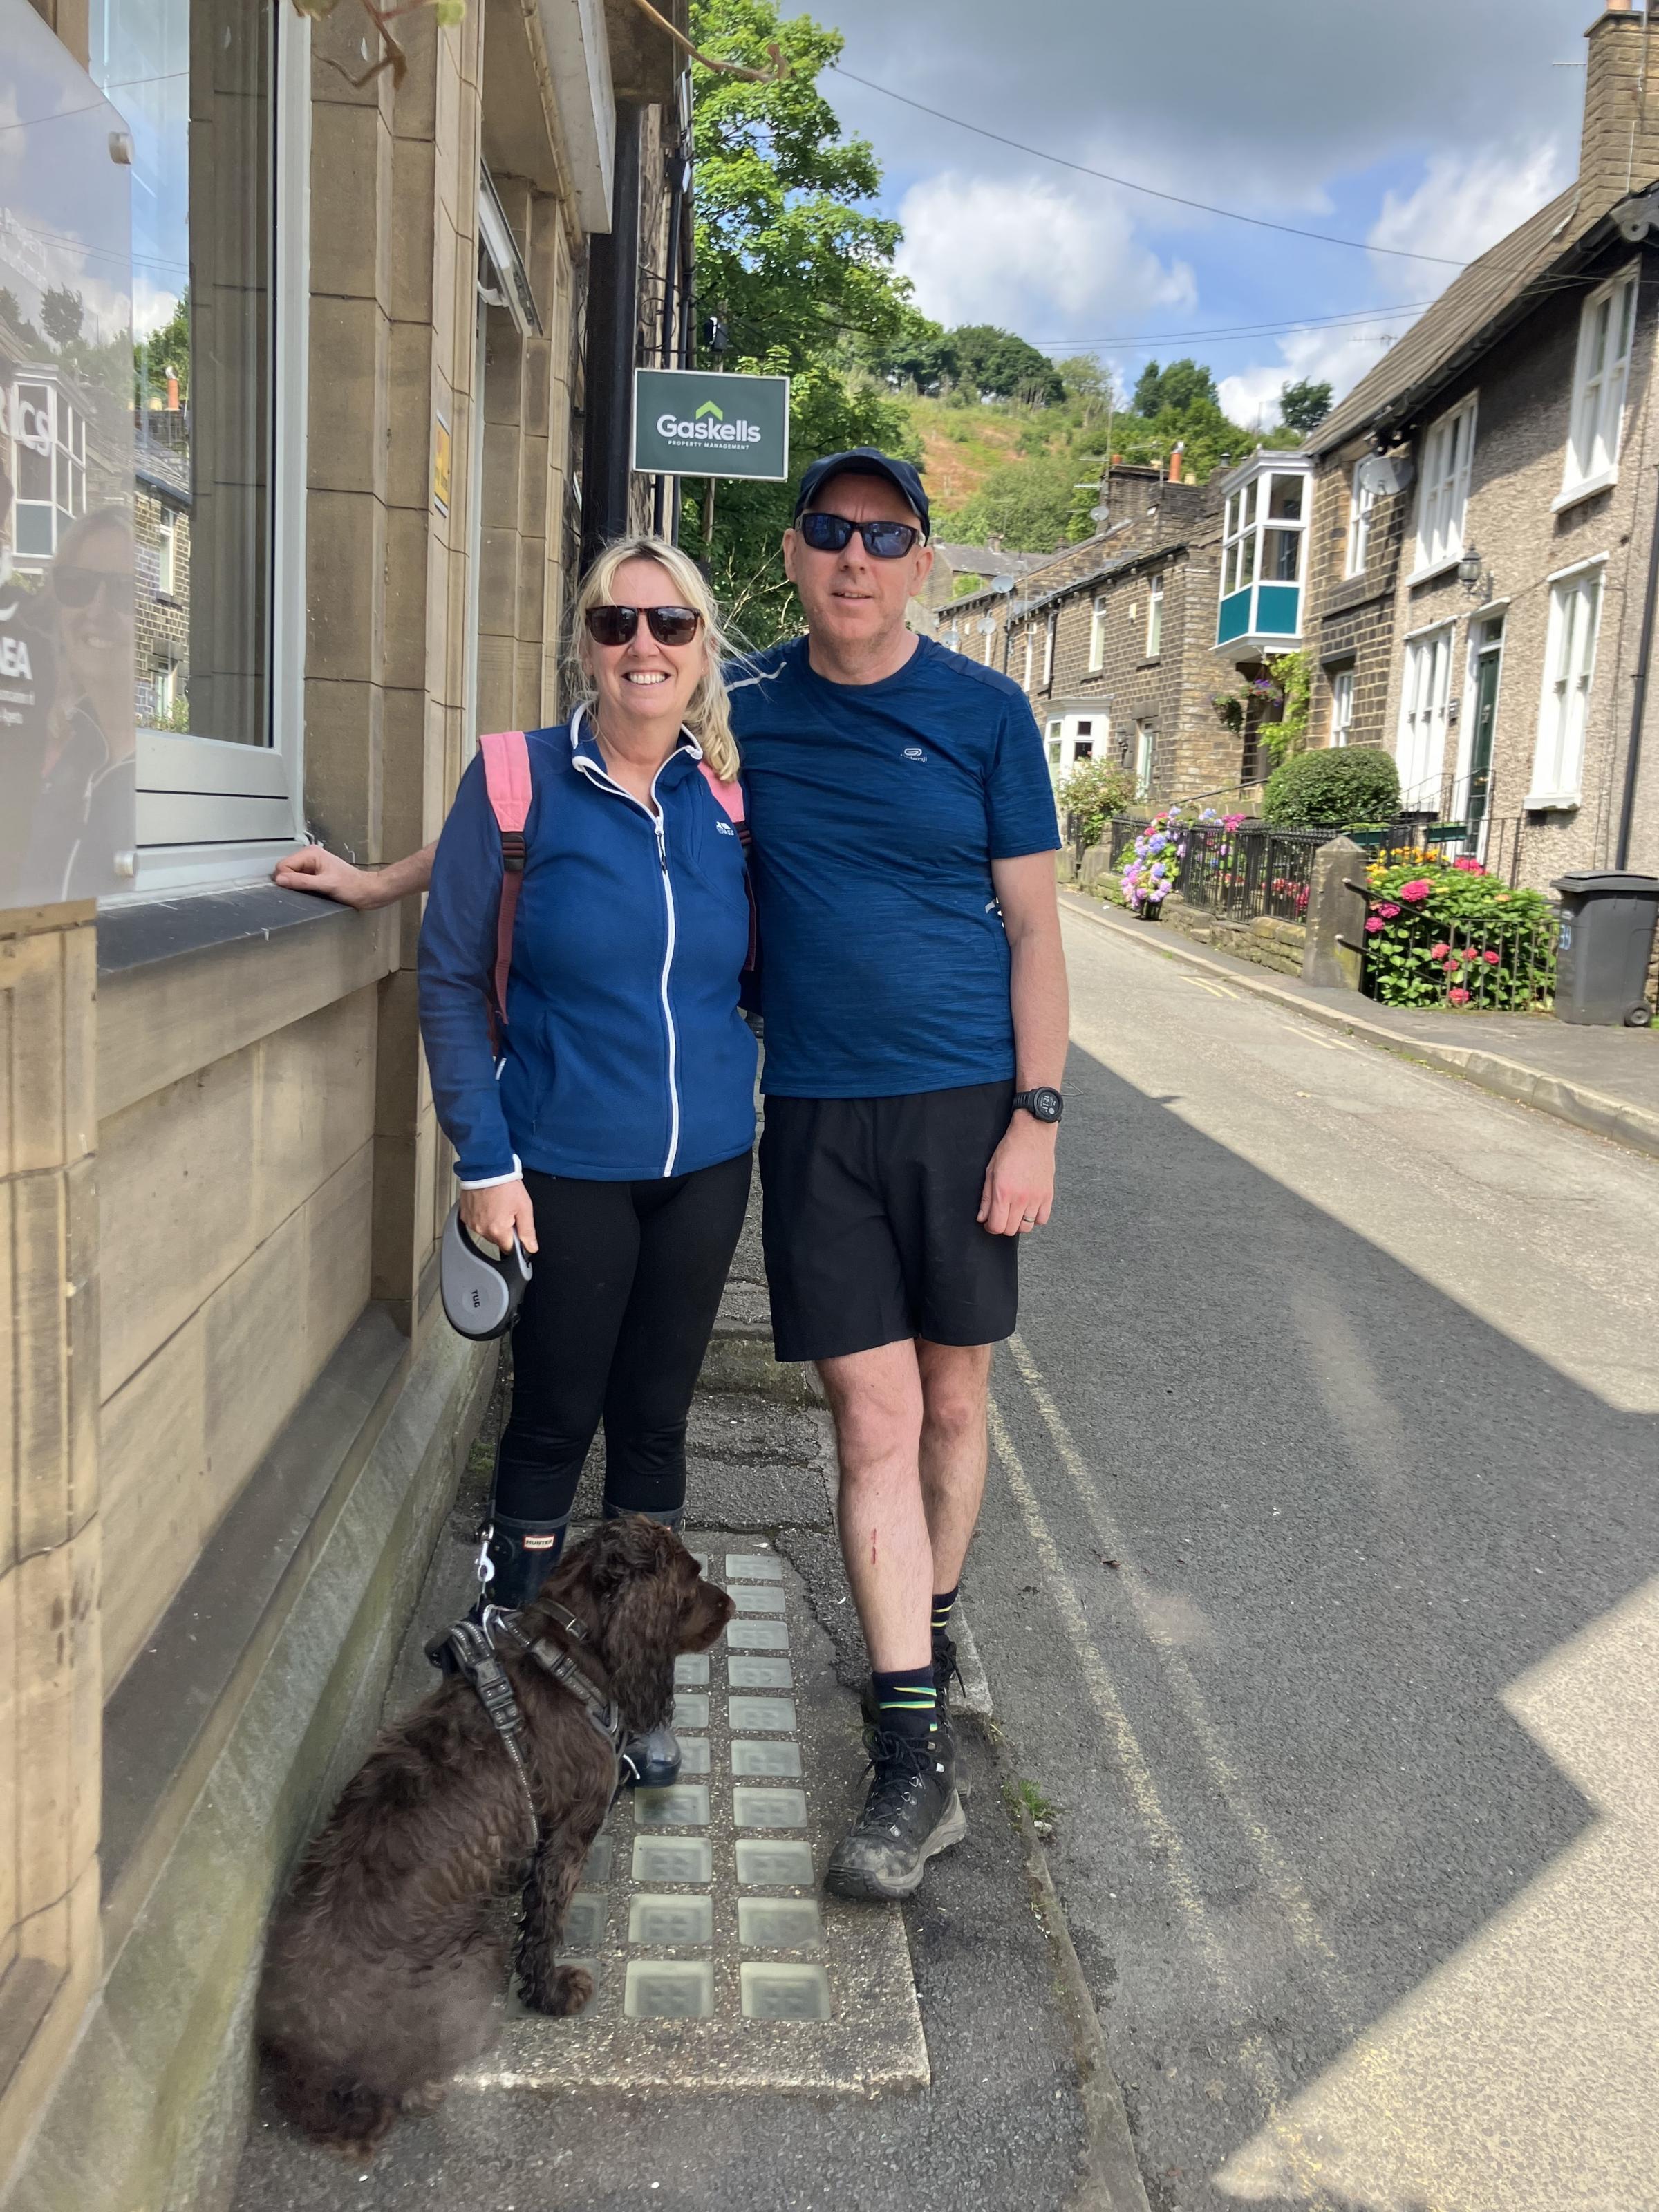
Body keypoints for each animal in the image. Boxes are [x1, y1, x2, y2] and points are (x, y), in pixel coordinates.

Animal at [256, 1512, 730, 2150]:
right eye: (692, 1578)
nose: (731, 1605)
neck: (571, 1651)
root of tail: (302, 2059)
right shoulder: (567, 1839)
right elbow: (544, 1928)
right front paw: (554, 1993)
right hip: (479, 1949)